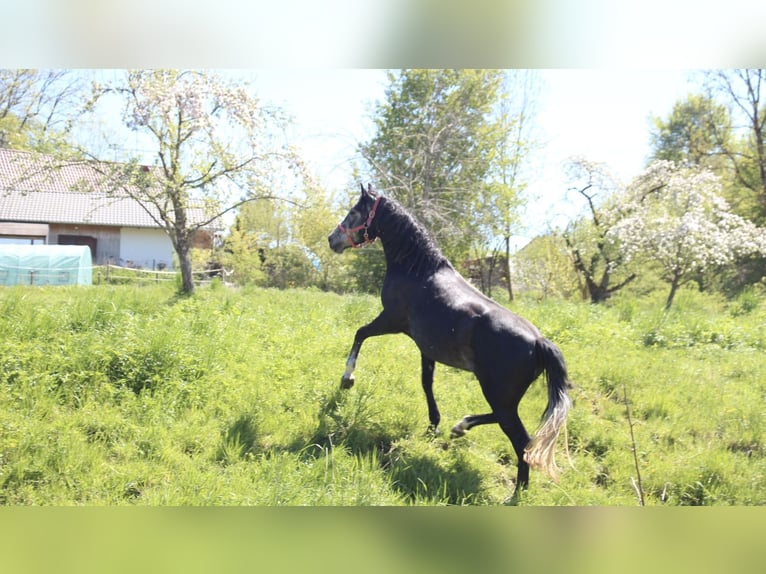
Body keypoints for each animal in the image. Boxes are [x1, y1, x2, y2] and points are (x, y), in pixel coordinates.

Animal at [327, 184, 572, 491]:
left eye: (354, 212)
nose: (332, 240)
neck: (418, 271)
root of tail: (539, 342)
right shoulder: (425, 347)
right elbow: (426, 383)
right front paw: (433, 425)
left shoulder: (391, 321)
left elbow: (359, 333)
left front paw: (347, 379)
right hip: (503, 398)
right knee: (504, 423)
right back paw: (460, 427)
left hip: (498, 395)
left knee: (521, 440)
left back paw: (517, 491)